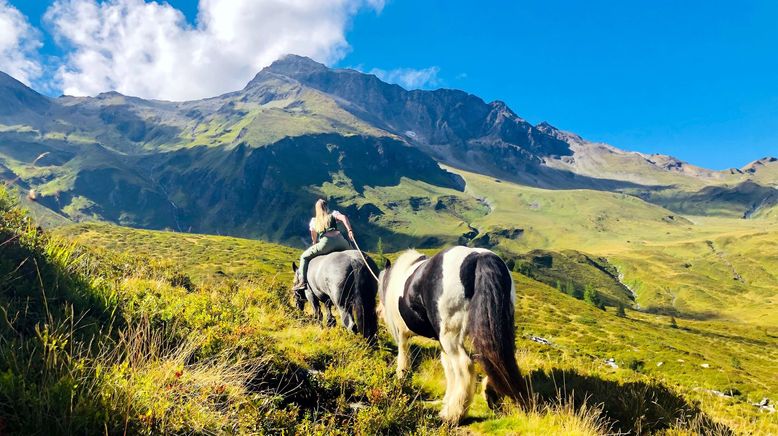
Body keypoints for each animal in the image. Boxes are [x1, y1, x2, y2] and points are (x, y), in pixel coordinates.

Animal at [376, 247, 528, 420]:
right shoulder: (440, 341)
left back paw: (454, 415)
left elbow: (403, 358)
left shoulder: (402, 334)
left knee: (465, 365)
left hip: (451, 336)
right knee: (494, 358)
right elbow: (449, 369)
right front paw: (446, 400)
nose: (378, 311)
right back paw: (489, 395)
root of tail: (479, 257)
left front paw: (401, 379)